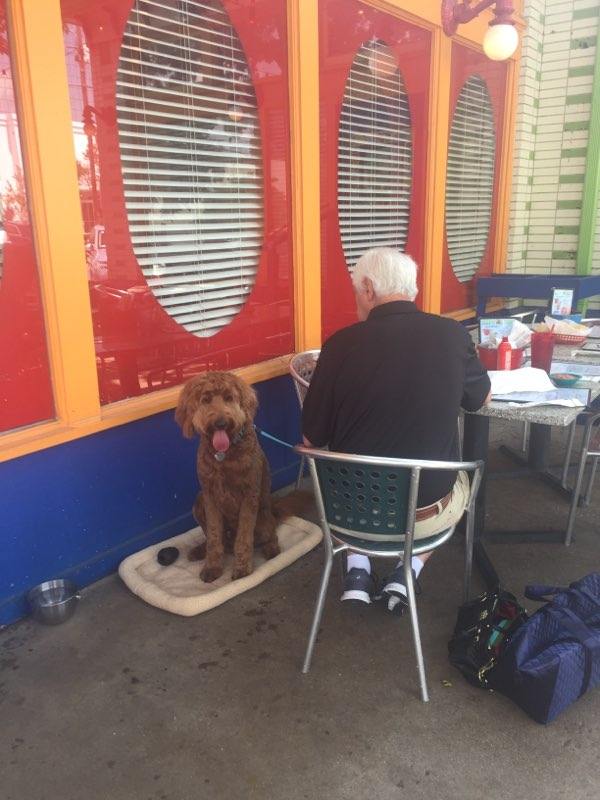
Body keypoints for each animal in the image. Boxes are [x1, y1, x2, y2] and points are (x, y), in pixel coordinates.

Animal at [176, 372, 284, 584]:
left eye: (229, 398)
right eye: (206, 400)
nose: (220, 423)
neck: (224, 456)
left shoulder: (249, 495)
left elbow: (244, 537)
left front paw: (242, 569)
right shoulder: (209, 496)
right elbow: (213, 537)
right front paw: (212, 567)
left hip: (263, 517)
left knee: (269, 532)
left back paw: (272, 548)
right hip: (198, 503)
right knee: (216, 539)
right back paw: (200, 550)